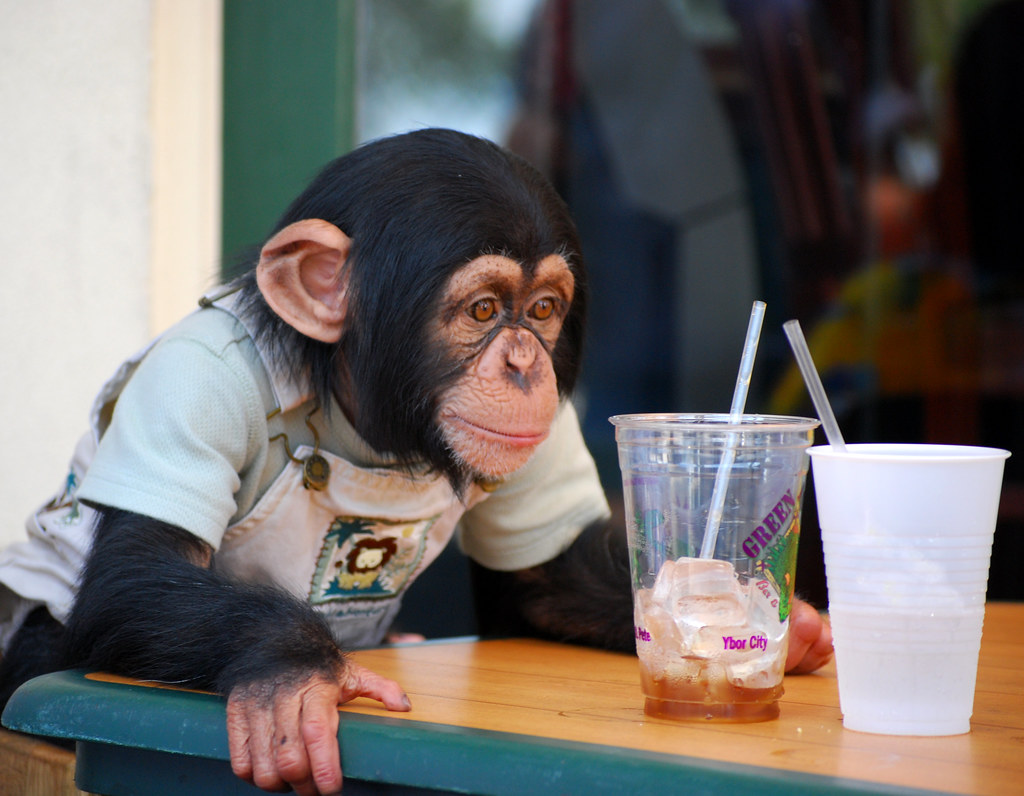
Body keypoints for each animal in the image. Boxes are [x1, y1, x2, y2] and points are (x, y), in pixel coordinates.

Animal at [0, 128, 832, 796]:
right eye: (483, 310)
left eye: (542, 310)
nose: (526, 366)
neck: (363, 422)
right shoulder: (196, 382)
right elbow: (136, 572)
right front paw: (294, 676)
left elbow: (549, 575)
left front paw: (794, 631)